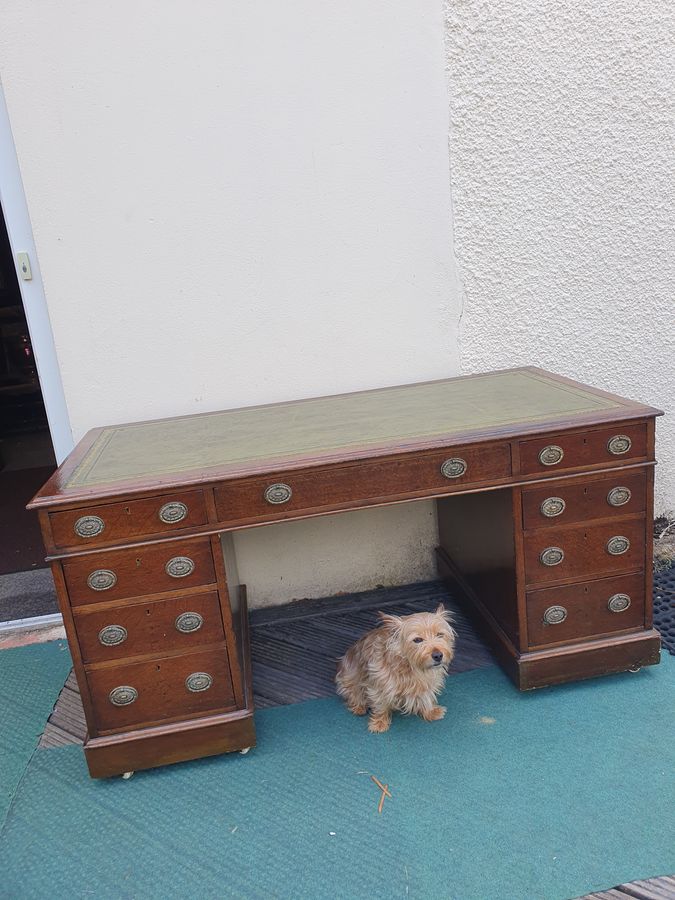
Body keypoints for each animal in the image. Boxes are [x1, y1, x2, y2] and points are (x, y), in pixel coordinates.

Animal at [336, 604, 456, 732]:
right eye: (417, 640)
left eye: (440, 634)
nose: (438, 655)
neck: (411, 666)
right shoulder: (378, 686)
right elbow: (381, 705)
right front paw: (379, 723)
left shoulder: (428, 682)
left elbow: (426, 696)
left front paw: (430, 712)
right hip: (348, 678)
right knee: (353, 693)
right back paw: (359, 707)